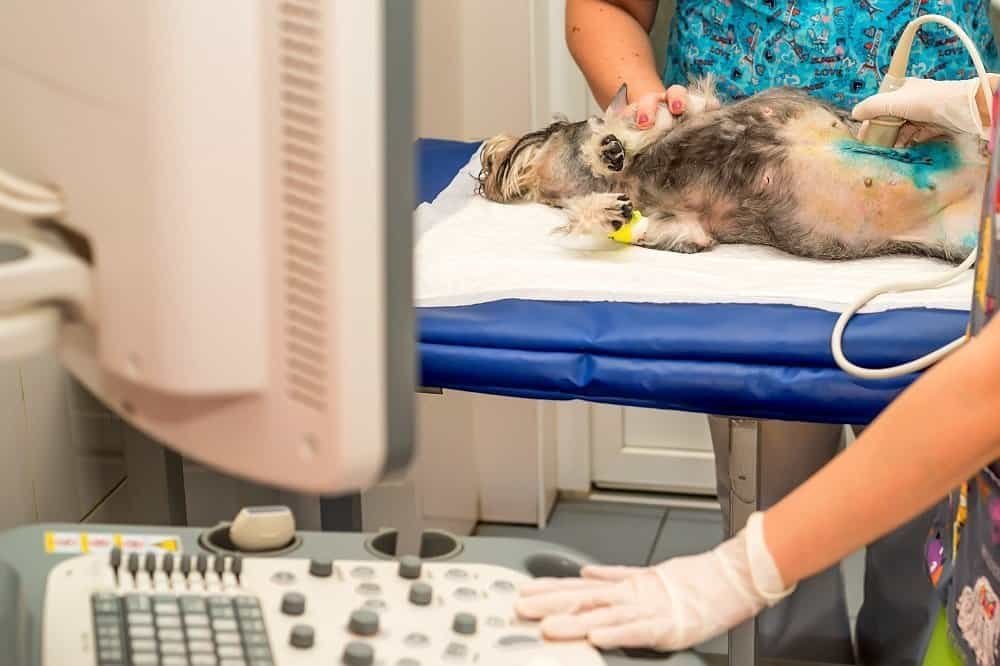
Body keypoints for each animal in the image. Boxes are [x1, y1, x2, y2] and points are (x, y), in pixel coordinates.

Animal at [474, 79, 984, 260]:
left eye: (556, 127)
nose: (493, 158)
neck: (632, 171)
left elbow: (680, 108)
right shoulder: (686, 230)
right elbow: (645, 228)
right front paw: (603, 212)